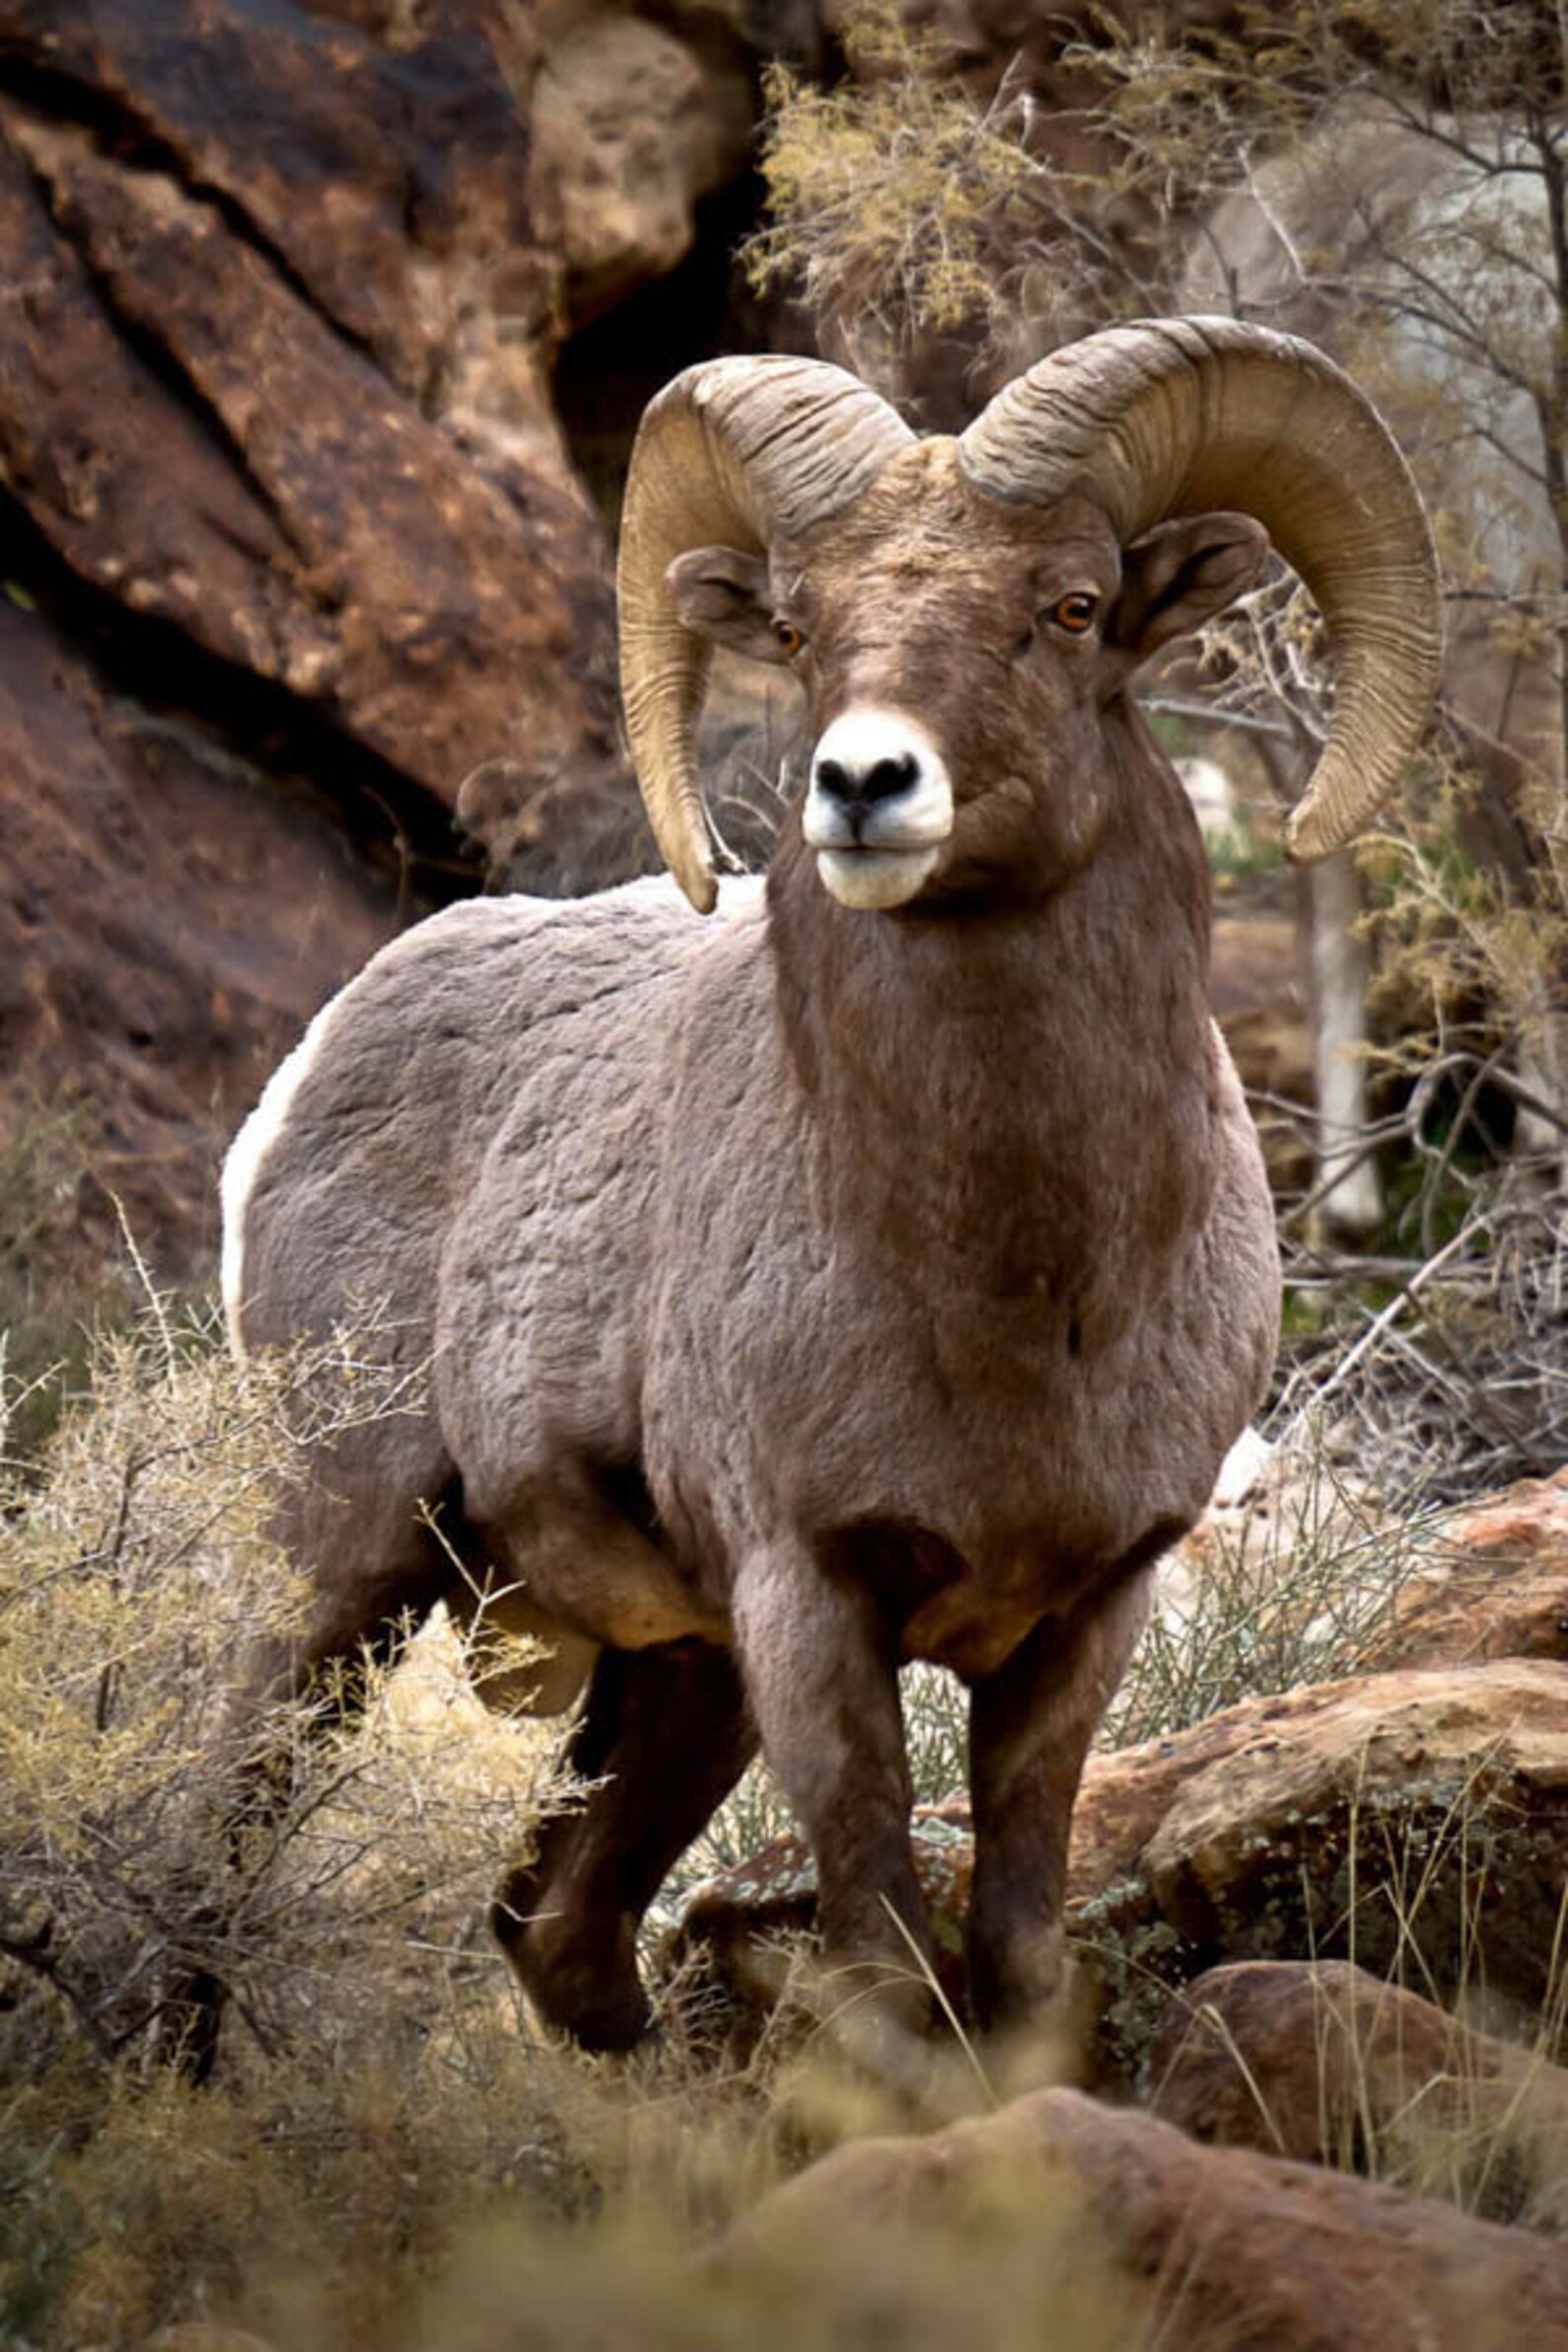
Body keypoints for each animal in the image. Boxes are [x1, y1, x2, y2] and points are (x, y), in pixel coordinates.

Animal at [222, 317, 1439, 2067]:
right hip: (348, 1553)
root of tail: (324, 1048)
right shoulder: (810, 1605)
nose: (863, 784)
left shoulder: (1083, 1619)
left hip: (673, 1681)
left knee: (559, 1935)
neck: (1028, 1296)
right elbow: (884, 1960)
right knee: (230, 1800)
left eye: (1073, 606)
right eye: (799, 627)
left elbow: (1017, 1947)